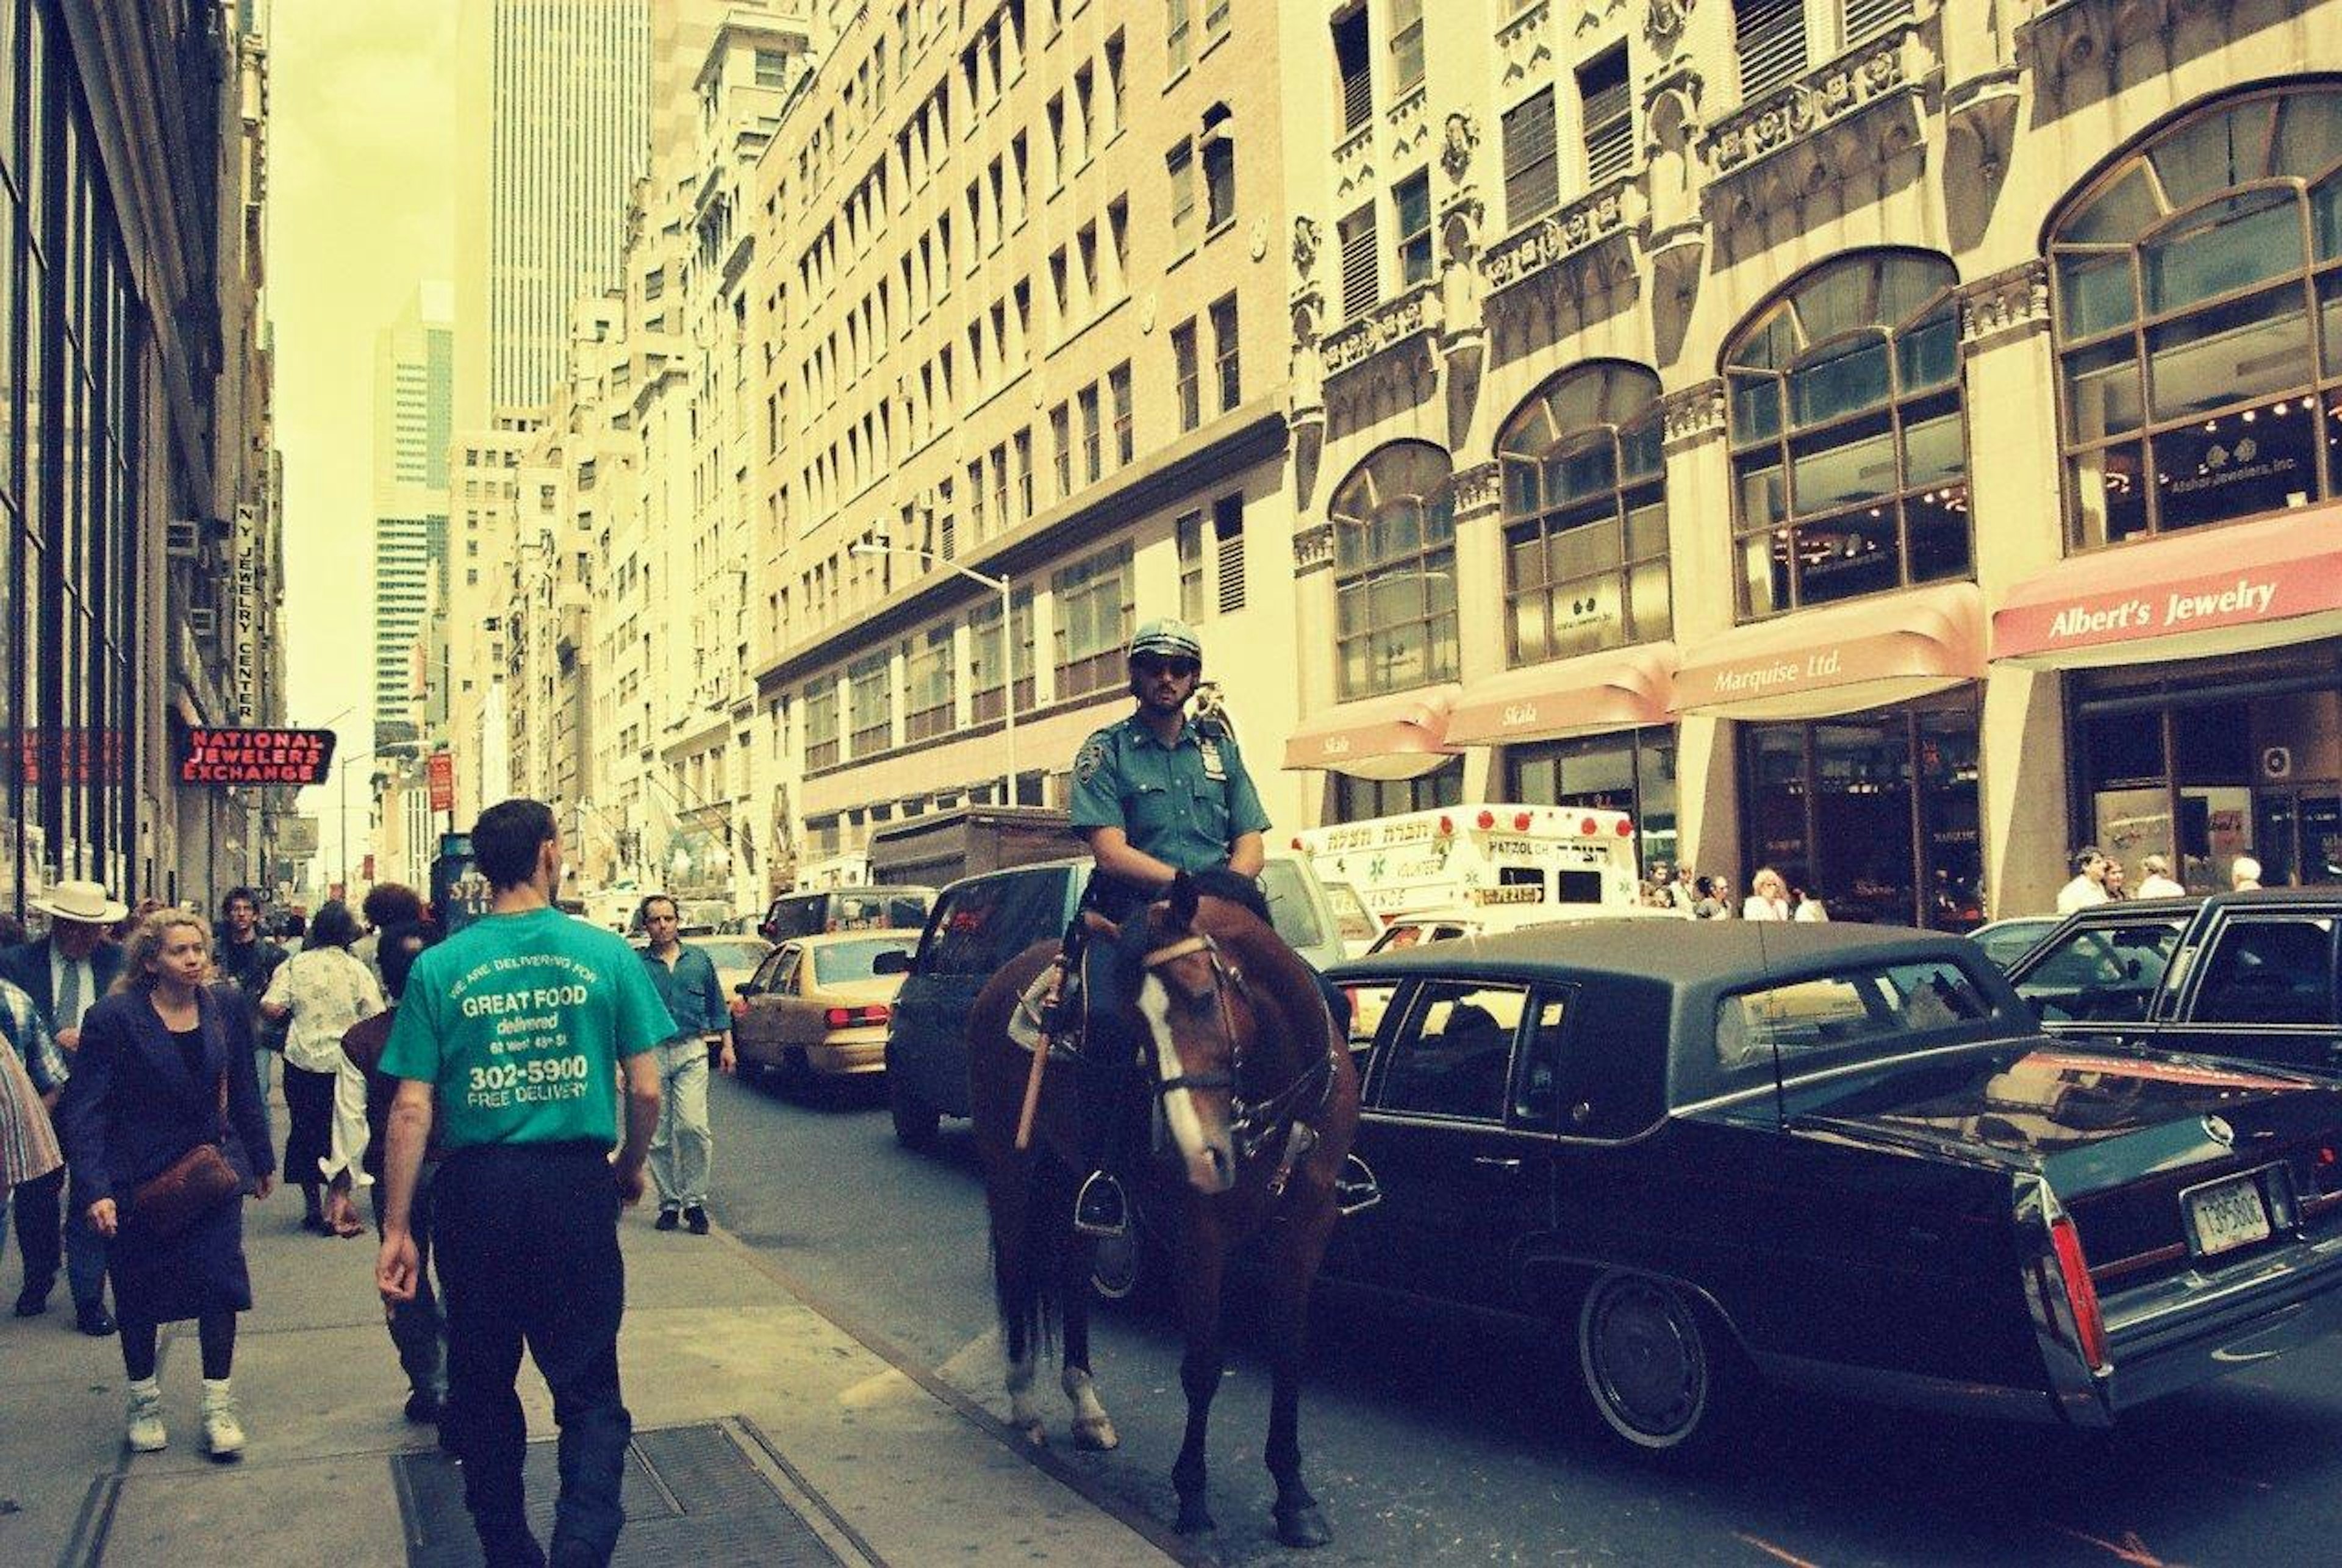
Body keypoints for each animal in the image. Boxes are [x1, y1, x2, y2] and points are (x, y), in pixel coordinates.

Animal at [969, 879, 1367, 1553]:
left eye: (1205, 998)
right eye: (1135, 1026)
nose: (1200, 1154)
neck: (1275, 1098)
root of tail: (1003, 978)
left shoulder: (1307, 1229)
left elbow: (1289, 1355)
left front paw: (1294, 1497)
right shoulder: (1200, 1236)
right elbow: (1202, 1366)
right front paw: (1193, 1500)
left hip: (1075, 1175)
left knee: (1073, 1271)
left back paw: (1087, 1407)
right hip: (1009, 1167)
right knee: (1021, 1269)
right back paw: (1024, 1403)